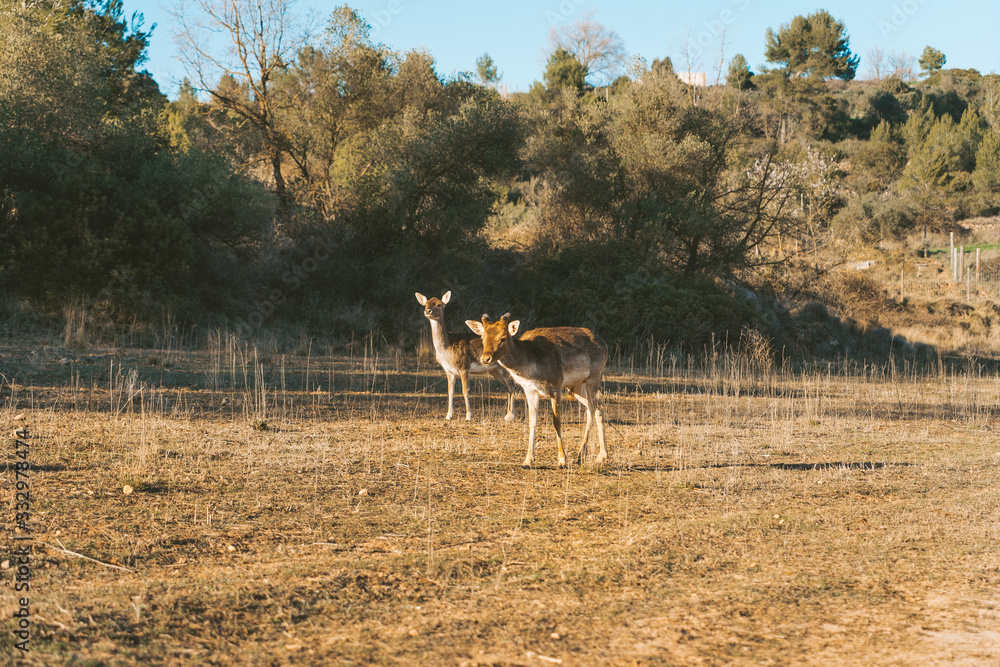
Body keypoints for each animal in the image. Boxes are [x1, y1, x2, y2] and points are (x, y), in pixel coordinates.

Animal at [415, 292, 517, 422]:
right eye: (426, 304)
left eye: (439, 304)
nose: (428, 311)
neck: (446, 350)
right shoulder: (448, 370)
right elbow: (450, 392)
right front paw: (448, 416)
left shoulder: (464, 366)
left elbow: (465, 391)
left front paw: (468, 416)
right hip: (494, 370)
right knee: (509, 387)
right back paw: (507, 415)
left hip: (504, 368)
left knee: (512, 386)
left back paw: (511, 416)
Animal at [466, 313, 608, 468]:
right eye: (482, 338)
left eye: (503, 338)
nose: (485, 358)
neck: (531, 368)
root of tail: (605, 345)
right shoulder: (530, 390)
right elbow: (532, 421)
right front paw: (527, 460)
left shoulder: (556, 385)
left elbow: (556, 422)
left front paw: (562, 460)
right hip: (575, 386)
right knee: (598, 407)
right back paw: (597, 456)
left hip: (594, 377)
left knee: (593, 409)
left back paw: (586, 455)